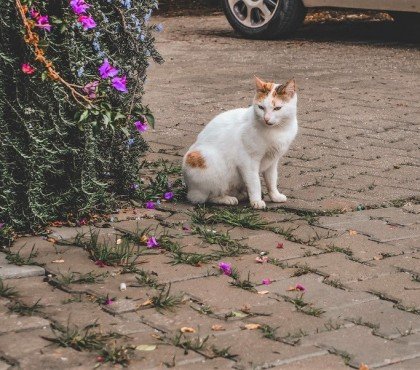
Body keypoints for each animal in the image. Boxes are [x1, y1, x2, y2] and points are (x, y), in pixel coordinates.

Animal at [182, 76, 296, 210]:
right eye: (261, 107)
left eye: (277, 108)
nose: (266, 119)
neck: (278, 130)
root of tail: (190, 189)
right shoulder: (248, 162)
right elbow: (255, 183)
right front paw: (256, 201)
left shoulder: (272, 161)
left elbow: (271, 180)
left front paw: (275, 196)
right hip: (211, 164)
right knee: (207, 198)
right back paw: (227, 199)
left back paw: (241, 195)